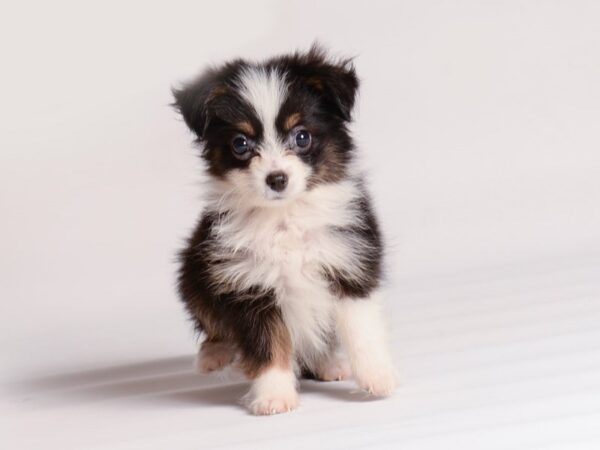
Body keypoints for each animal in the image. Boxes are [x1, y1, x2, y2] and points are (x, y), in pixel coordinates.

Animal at [173, 44, 396, 414]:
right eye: (240, 144)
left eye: (301, 136)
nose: (276, 179)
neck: (285, 217)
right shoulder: (247, 283)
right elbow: (267, 342)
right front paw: (274, 395)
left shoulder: (349, 263)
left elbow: (360, 327)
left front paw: (378, 376)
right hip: (192, 272)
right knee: (213, 322)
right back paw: (214, 354)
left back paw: (327, 363)